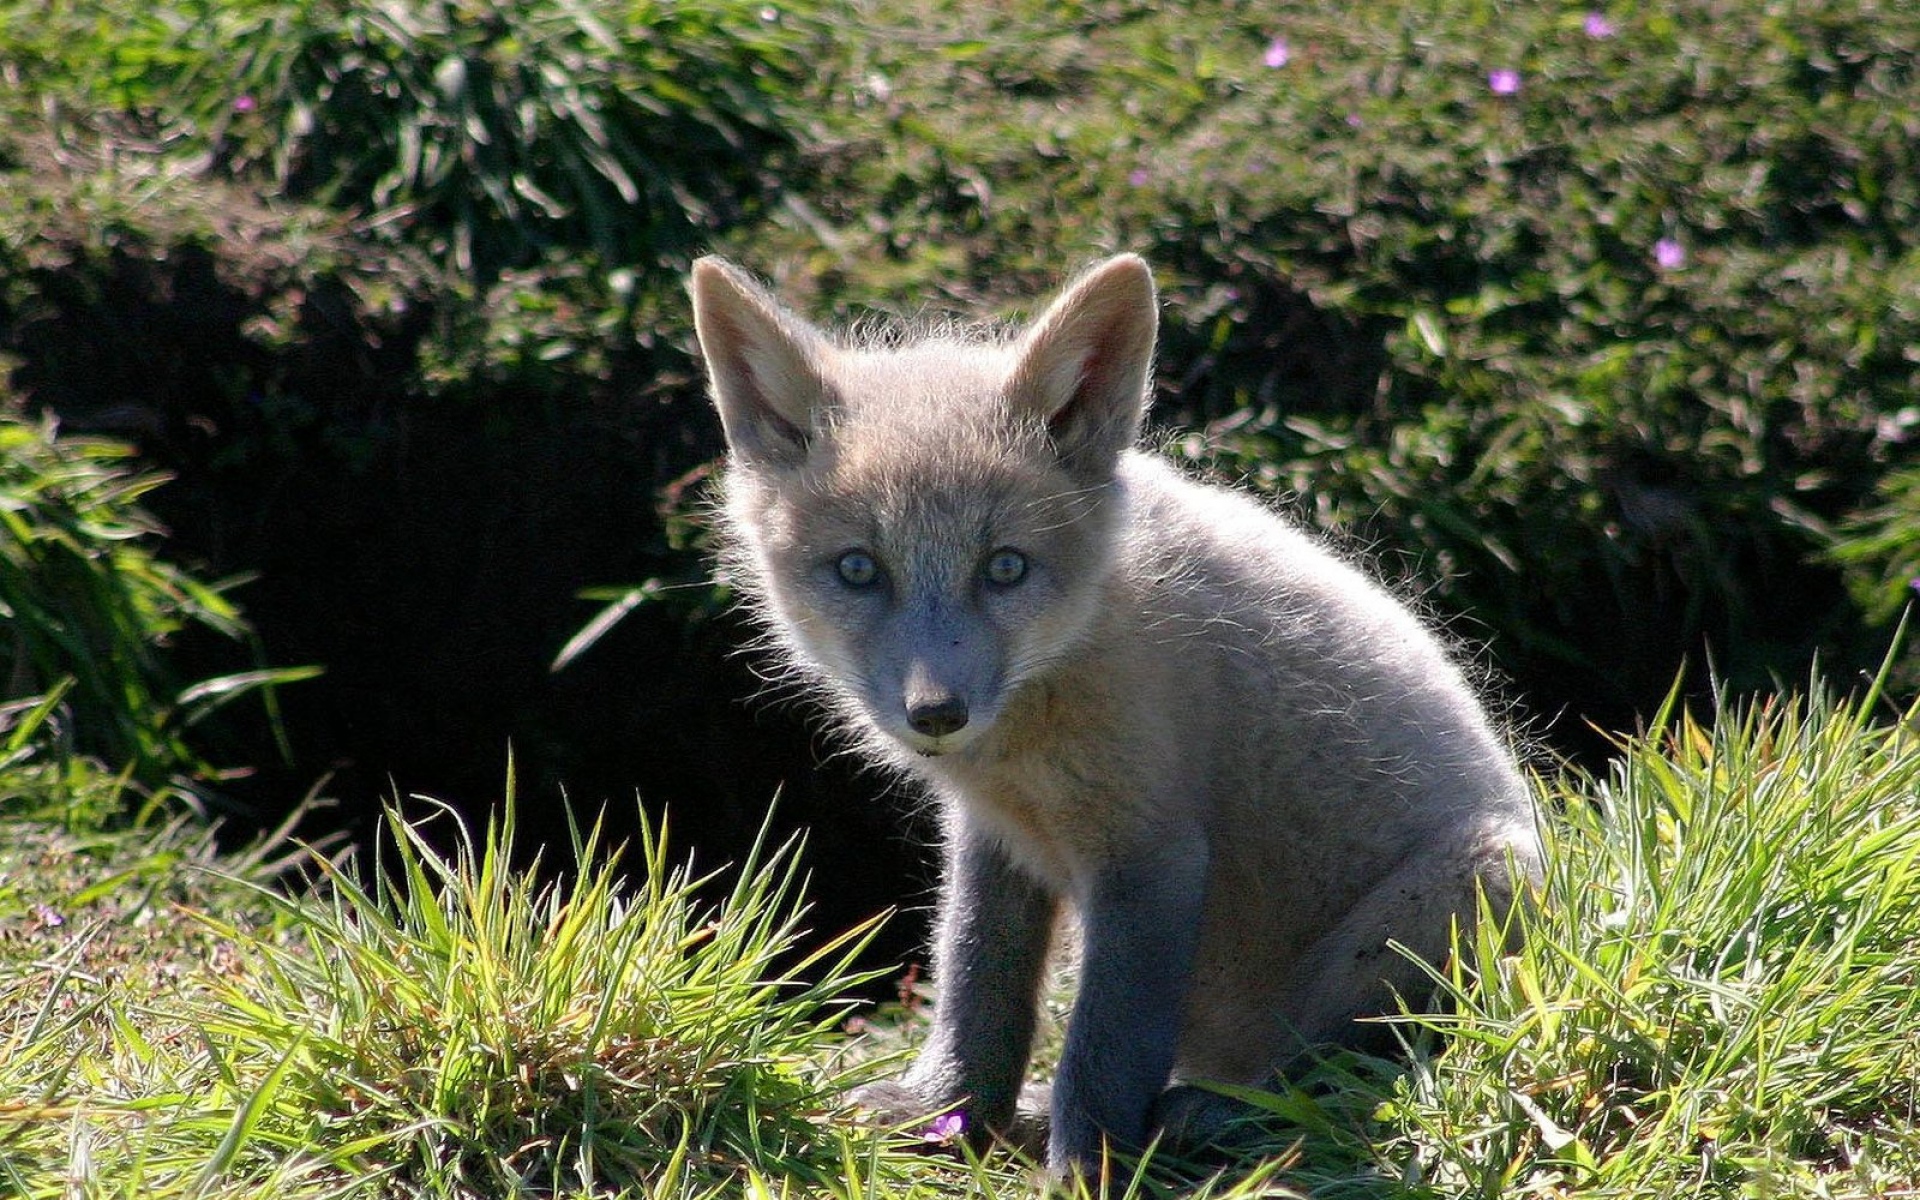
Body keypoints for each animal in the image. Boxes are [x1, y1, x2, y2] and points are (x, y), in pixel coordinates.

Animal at [691, 249, 1543, 1167]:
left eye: (1005, 568)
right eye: (858, 570)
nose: (936, 714)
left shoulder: (1151, 853)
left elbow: (1104, 1043)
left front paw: (1087, 1164)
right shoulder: (995, 838)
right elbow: (975, 980)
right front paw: (949, 1112)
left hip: (1465, 889)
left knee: (1348, 1069)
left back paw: (1224, 1114)